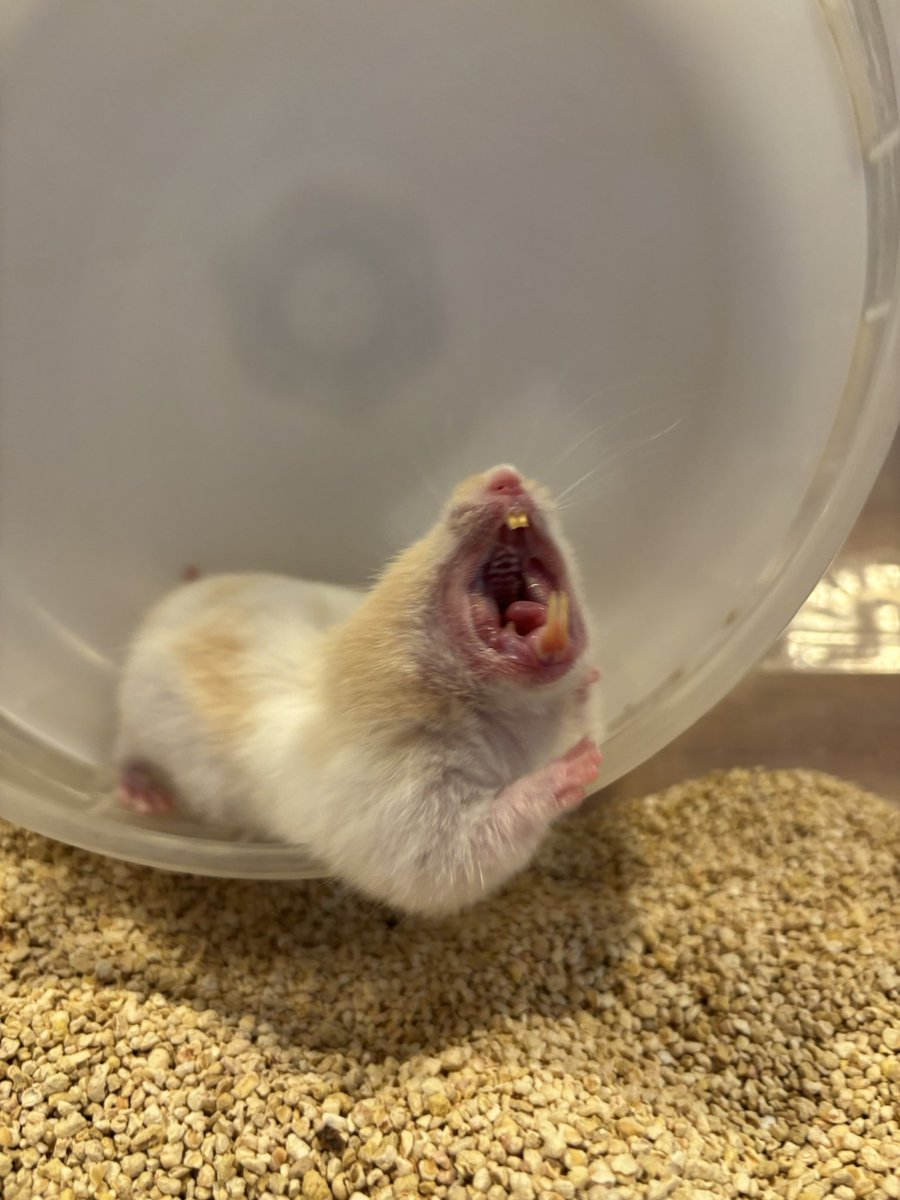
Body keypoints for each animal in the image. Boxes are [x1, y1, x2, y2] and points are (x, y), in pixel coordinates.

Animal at [115, 464, 603, 917]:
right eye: (436, 524)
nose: (506, 475)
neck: (510, 709)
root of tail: (173, 601)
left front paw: (591, 689)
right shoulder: (405, 815)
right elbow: (470, 847)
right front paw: (582, 765)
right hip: (135, 713)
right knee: (126, 754)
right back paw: (145, 798)